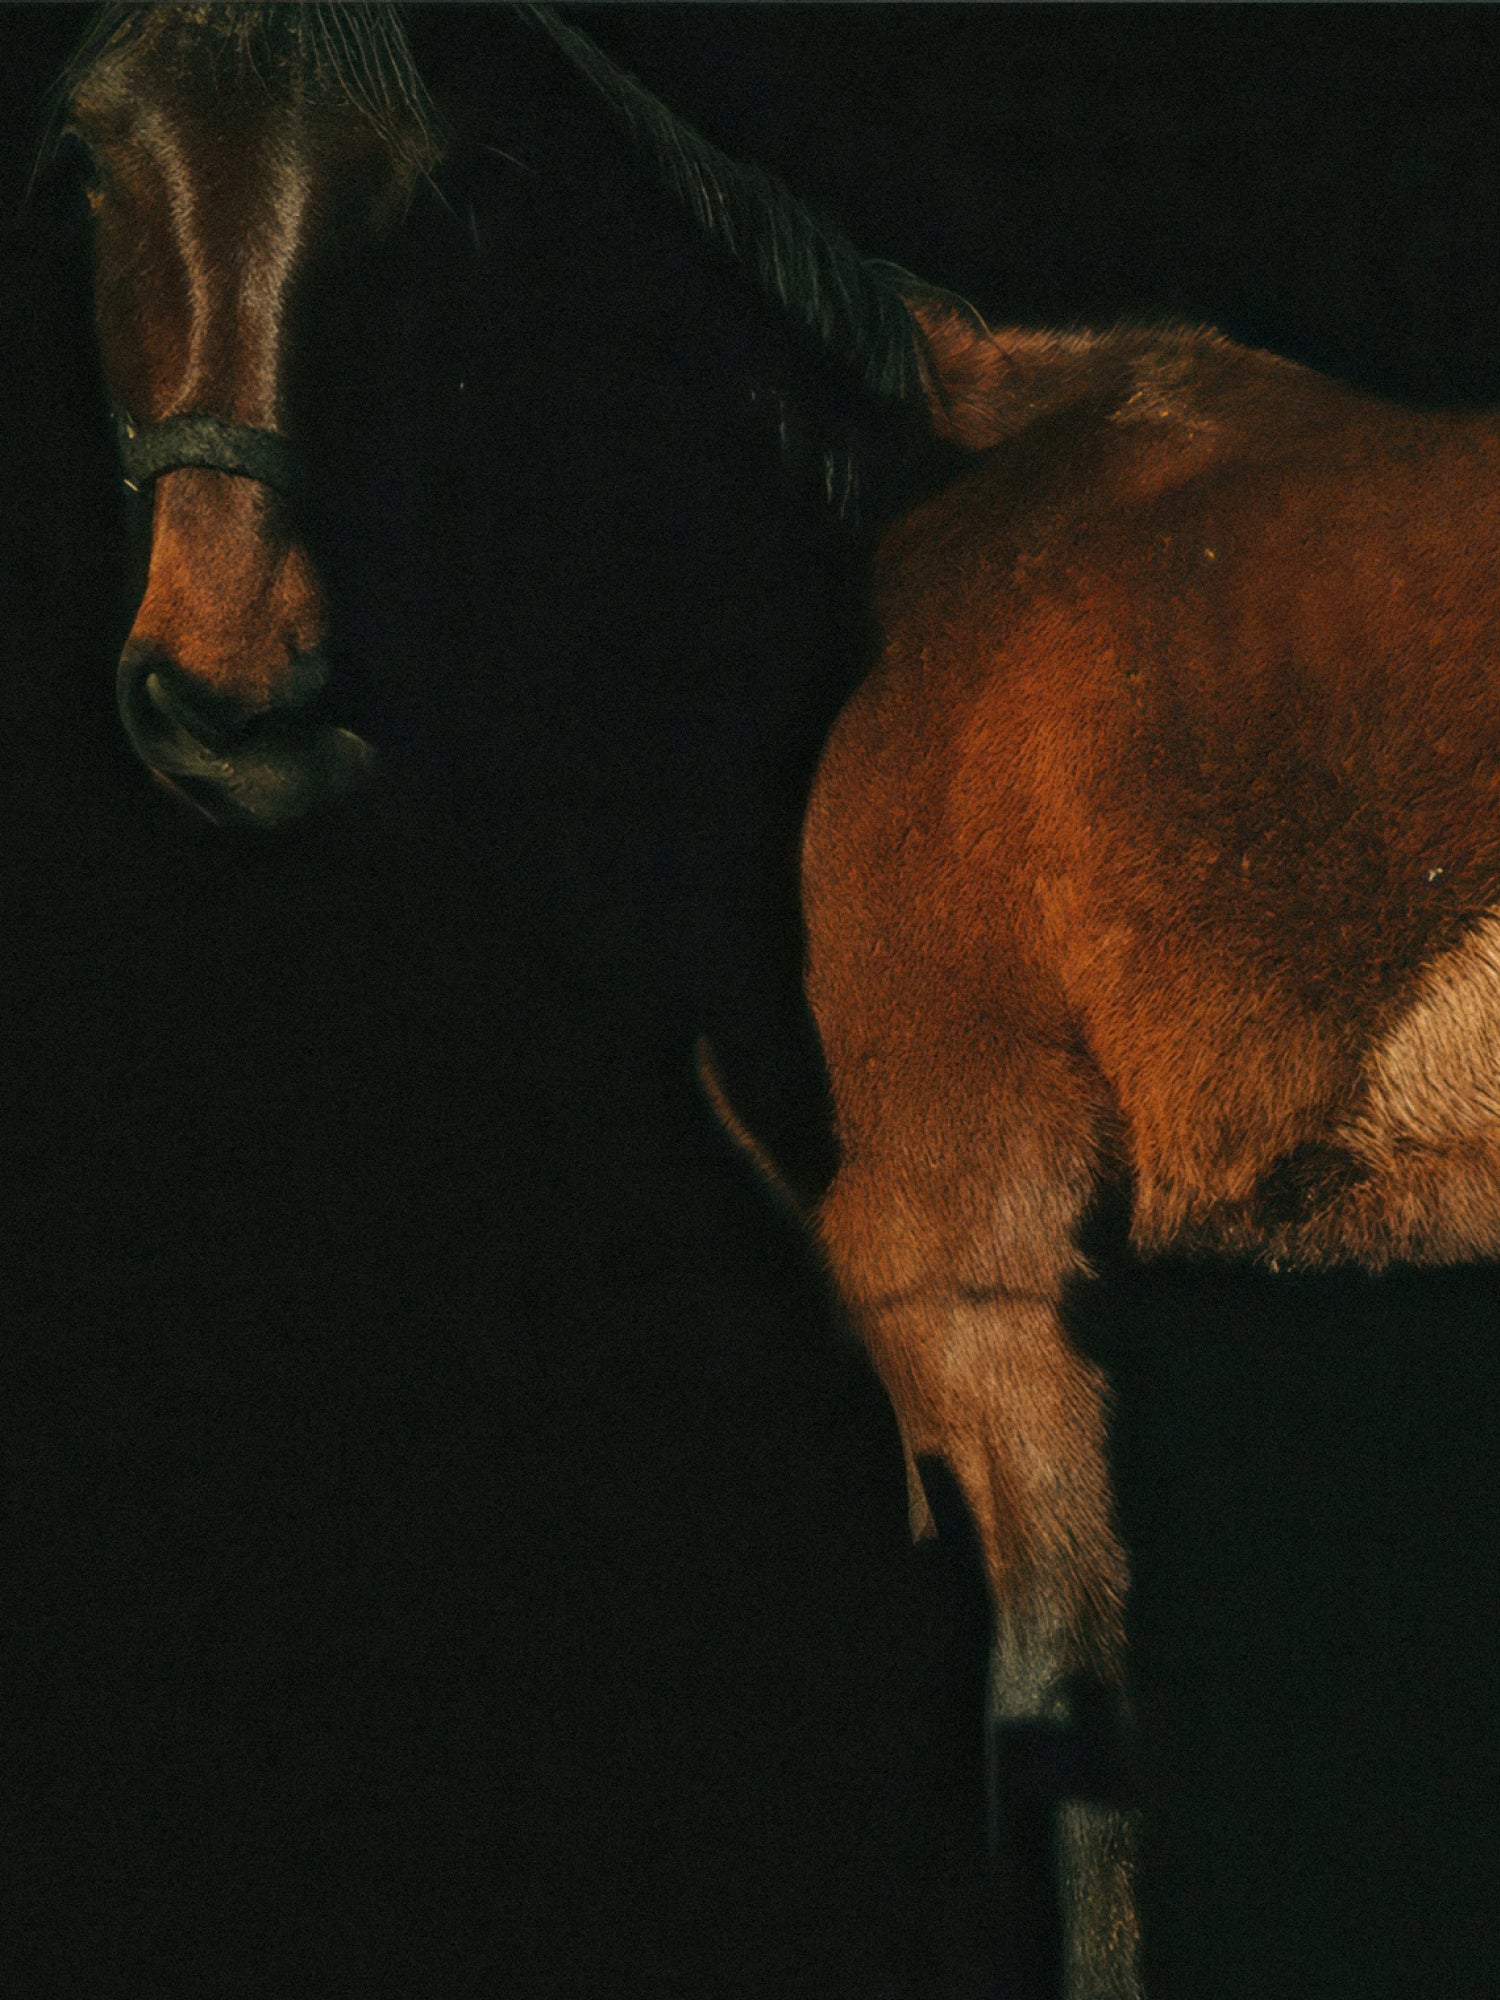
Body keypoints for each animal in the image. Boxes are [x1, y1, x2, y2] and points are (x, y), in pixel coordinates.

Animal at [54, 5, 1500, 1994]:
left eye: (447, 191)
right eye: (91, 158)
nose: (229, 706)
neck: (886, 577)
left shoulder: (990, 1298)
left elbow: (1085, 1806)